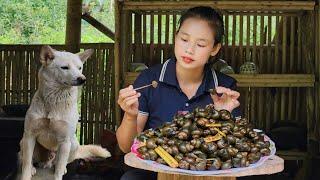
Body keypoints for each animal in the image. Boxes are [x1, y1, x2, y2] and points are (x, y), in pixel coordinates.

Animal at [19, 46, 111, 180]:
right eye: (64, 67)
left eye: (79, 68)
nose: (82, 79)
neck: (54, 102)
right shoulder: (30, 135)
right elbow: (25, 164)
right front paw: (27, 173)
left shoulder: (64, 141)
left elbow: (58, 171)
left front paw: (60, 172)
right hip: (24, 142)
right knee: (29, 159)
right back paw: (35, 167)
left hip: (73, 145)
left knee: (59, 163)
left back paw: (61, 168)